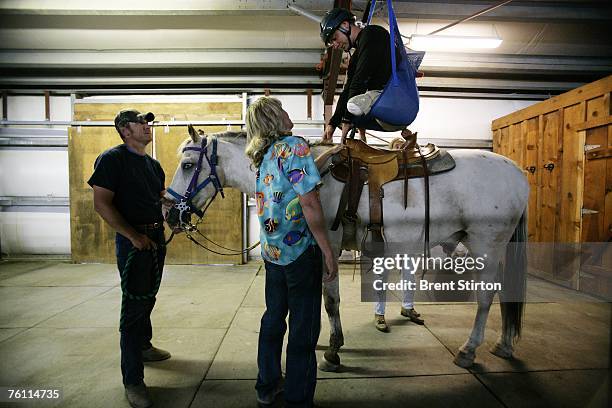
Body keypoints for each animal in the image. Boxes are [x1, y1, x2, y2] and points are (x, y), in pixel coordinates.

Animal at [165, 126, 528, 370]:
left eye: (187, 165)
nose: (169, 213)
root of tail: (518, 172)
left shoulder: (330, 247)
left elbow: (330, 300)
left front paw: (333, 349)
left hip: (486, 245)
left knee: (486, 298)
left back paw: (469, 350)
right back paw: (504, 345)